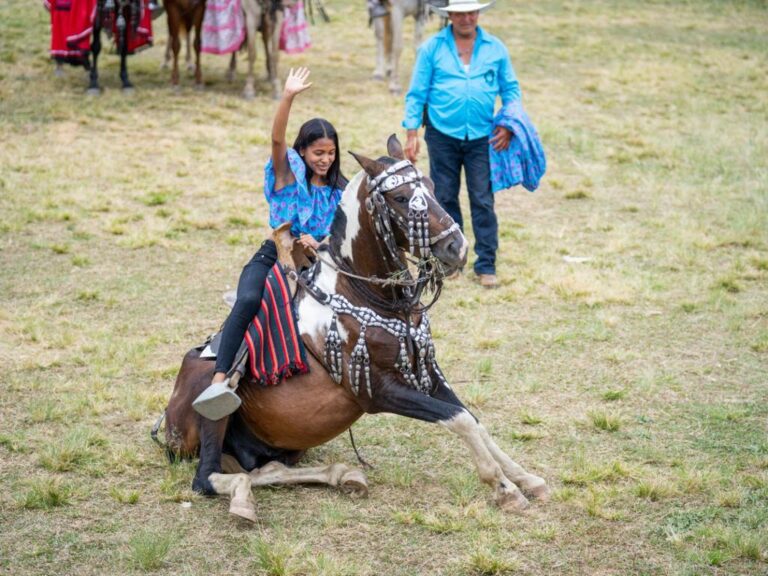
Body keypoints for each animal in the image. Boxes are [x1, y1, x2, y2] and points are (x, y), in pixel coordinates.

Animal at [159, 134, 548, 520]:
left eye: (432, 187)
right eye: (401, 198)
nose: (458, 247)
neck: (369, 296)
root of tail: (167, 423)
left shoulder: (425, 371)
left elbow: (471, 418)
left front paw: (524, 478)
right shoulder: (377, 390)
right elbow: (459, 420)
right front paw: (503, 488)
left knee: (266, 469)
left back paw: (342, 475)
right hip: (212, 408)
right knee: (207, 477)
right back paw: (243, 499)